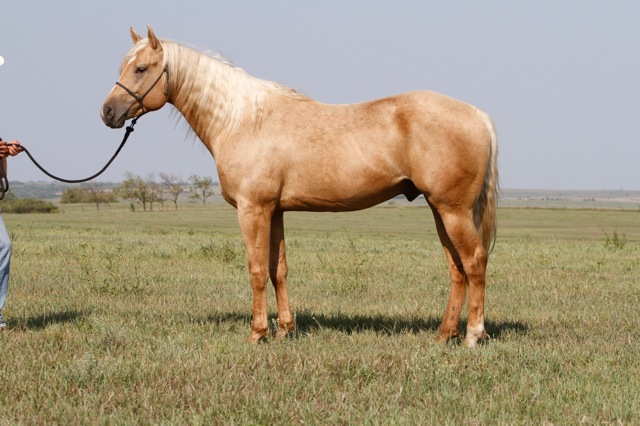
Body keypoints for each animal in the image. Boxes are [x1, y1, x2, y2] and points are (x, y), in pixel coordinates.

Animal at [101, 25, 499, 347]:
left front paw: (257, 333)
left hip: (453, 210)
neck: (244, 120)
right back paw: (444, 335)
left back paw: (473, 335)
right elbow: (278, 269)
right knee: (457, 269)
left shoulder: (253, 209)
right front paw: (284, 330)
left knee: (475, 262)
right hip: (440, 210)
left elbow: (256, 270)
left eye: (140, 68)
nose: (107, 112)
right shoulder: (274, 211)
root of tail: (478, 115)